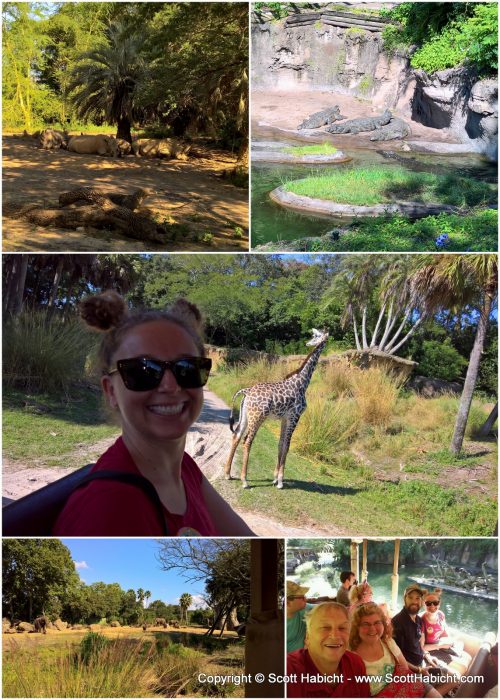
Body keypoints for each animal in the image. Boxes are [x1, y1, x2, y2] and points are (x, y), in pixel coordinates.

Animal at [226, 326, 328, 486]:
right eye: (315, 335)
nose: (308, 343)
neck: (302, 383)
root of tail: (247, 391)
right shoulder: (295, 416)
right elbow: (287, 445)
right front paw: (280, 481)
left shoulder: (285, 418)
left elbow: (280, 444)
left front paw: (275, 478)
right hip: (257, 417)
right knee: (247, 441)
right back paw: (244, 480)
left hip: (245, 416)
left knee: (236, 436)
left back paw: (228, 474)